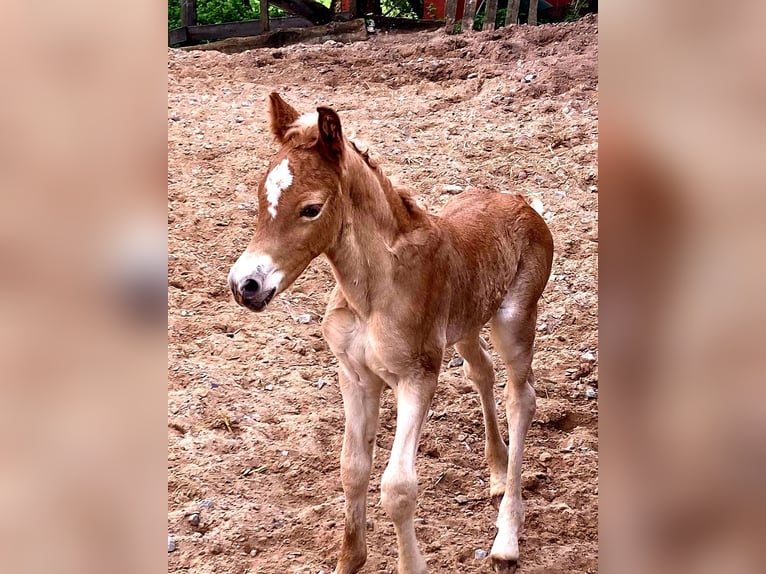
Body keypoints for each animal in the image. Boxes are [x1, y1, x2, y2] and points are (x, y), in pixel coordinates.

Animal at [225, 92, 556, 572]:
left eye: (311, 208)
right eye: (258, 197)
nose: (244, 285)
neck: (373, 291)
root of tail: (519, 200)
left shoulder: (416, 377)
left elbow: (398, 487)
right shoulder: (356, 376)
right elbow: (352, 468)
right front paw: (349, 559)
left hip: (513, 319)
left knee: (521, 397)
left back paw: (506, 539)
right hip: (465, 322)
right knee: (482, 372)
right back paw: (495, 472)